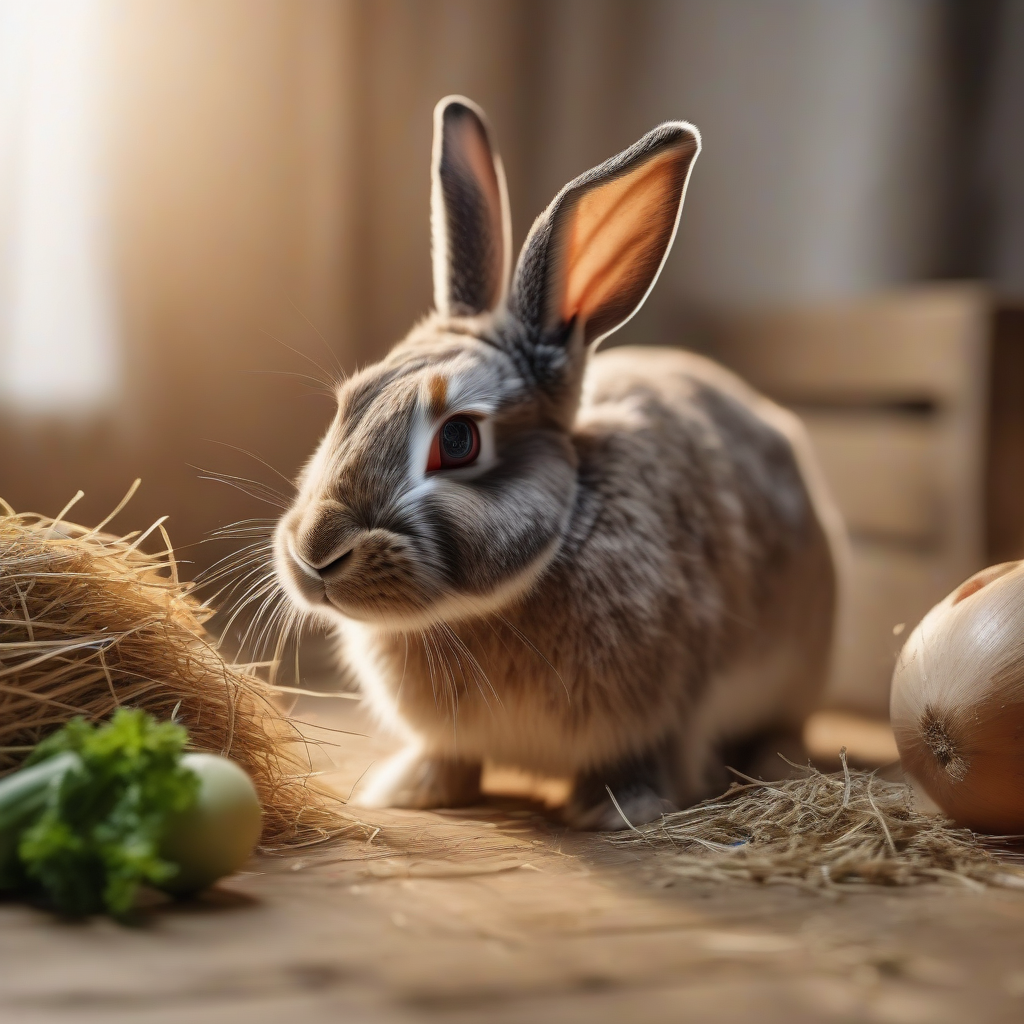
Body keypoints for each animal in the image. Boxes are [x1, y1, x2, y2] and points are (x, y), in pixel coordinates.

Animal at [273, 95, 841, 830]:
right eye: (349, 403)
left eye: (458, 441)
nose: (317, 552)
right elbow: (447, 755)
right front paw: (411, 791)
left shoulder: (666, 713)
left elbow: (642, 760)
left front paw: (616, 810)